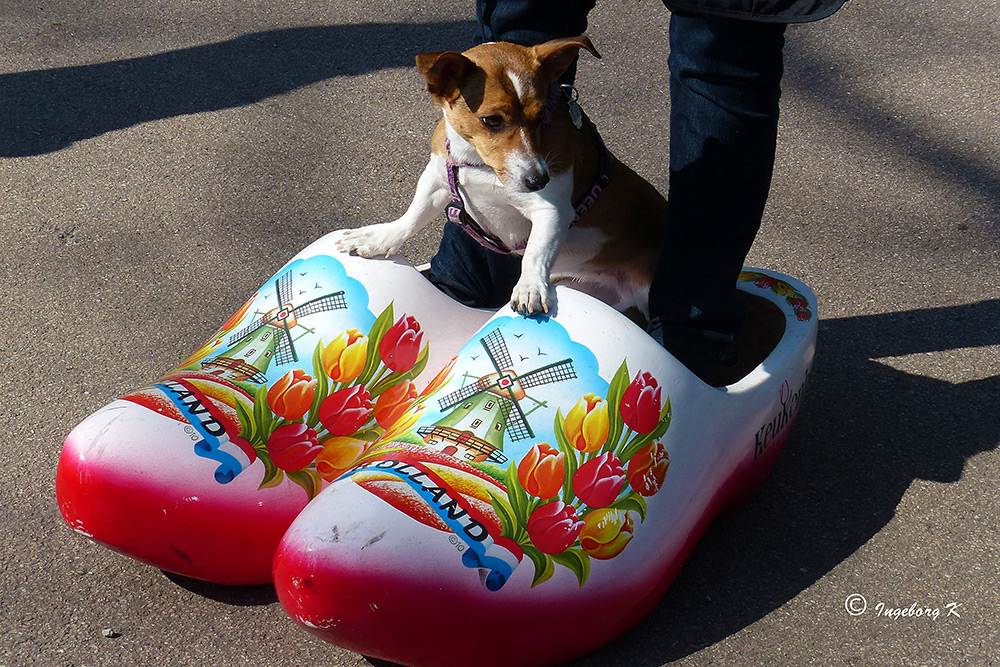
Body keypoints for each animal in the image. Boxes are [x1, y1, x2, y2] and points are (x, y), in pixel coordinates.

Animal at [338, 36, 672, 318]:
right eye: (491, 120)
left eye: (541, 116)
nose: (538, 180)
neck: (477, 163)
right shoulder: (436, 179)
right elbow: (412, 217)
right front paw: (379, 238)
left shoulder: (552, 210)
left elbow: (534, 253)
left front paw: (530, 286)